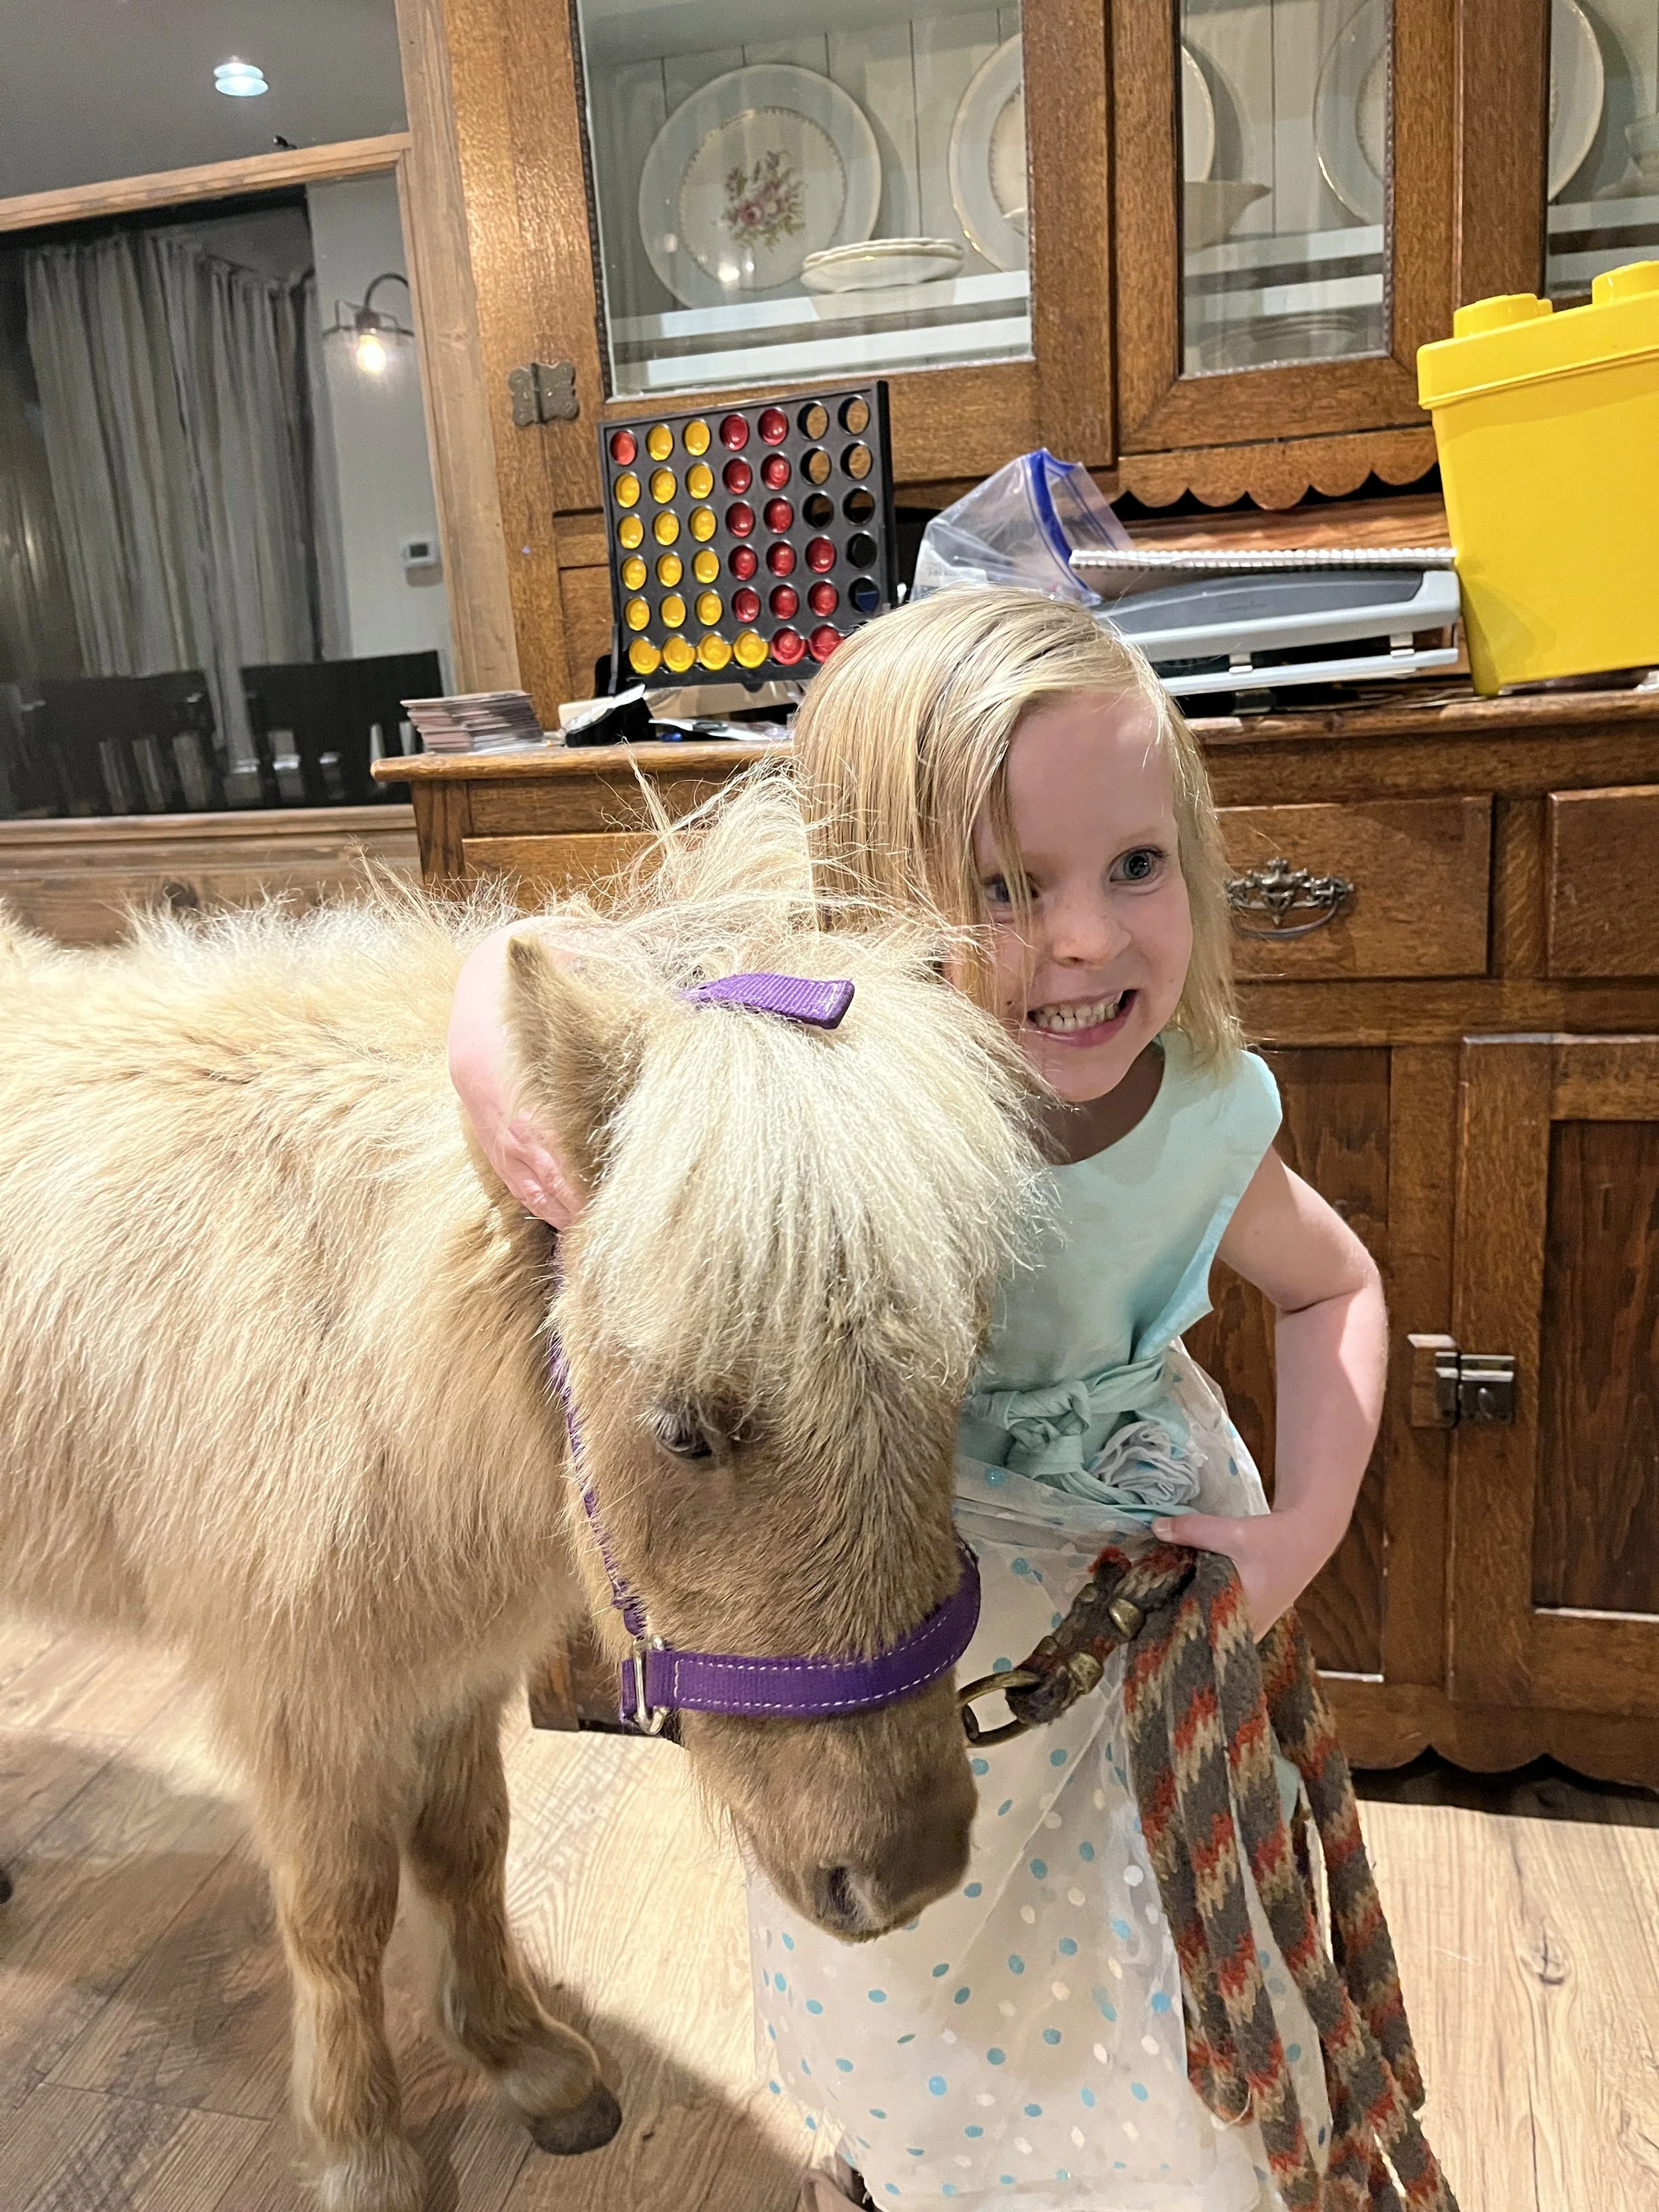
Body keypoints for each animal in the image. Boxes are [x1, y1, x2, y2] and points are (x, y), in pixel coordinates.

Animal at [0, 781, 1041, 2211]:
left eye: (955, 1384)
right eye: (684, 1429)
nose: (907, 1872)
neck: (352, 1321)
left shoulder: (446, 1670)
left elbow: (466, 1847)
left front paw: (521, 2058)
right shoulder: (306, 1699)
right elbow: (338, 1916)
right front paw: (366, 2148)